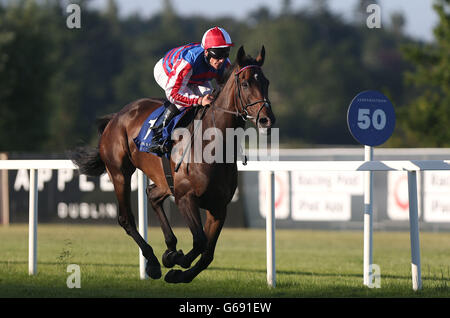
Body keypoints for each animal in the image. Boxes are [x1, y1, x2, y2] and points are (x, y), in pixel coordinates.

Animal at [71, 45, 274, 284]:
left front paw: (178, 270)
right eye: (245, 84)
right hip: (120, 172)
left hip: (164, 180)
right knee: (126, 218)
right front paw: (174, 260)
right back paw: (153, 262)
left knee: (152, 194)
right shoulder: (186, 198)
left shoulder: (218, 207)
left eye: (266, 82)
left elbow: (207, 254)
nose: (267, 119)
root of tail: (116, 116)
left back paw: (169, 247)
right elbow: (200, 242)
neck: (213, 144)